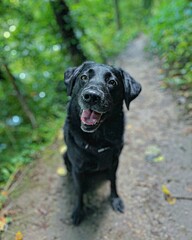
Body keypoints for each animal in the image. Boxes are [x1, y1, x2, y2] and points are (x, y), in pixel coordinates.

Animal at [63, 60, 141, 225]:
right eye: (84, 77)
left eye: (112, 82)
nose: (92, 96)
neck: (97, 138)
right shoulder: (78, 168)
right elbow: (79, 191)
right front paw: (78, 210)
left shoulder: (114, 161)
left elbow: (113, 182)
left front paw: (115, 200)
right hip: (65, 156)